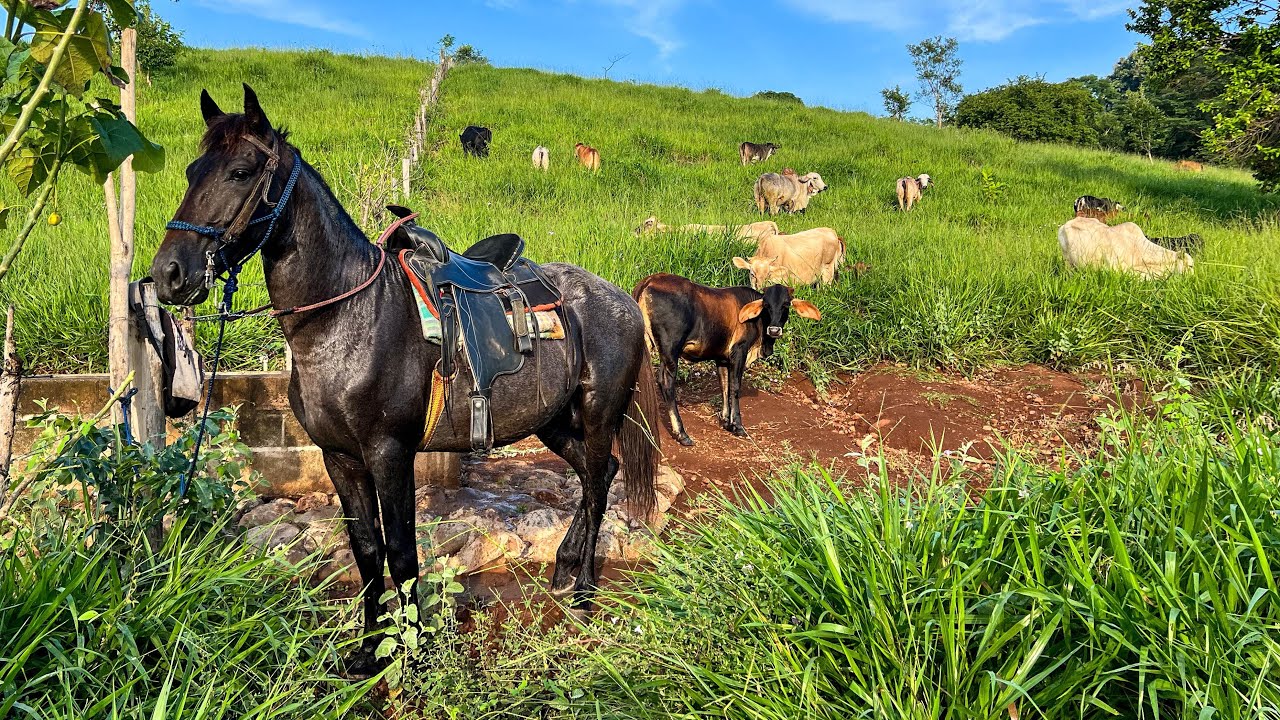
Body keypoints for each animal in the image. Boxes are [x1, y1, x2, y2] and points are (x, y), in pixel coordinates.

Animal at [633, 274, 821, 445]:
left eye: (786, 304)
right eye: (766, 305)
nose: (774, 330)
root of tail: (649, 281)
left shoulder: (722, 359)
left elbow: (724, 386)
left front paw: (726, 421)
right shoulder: (739, 352)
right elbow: (735, 387)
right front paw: (737, 425)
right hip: (670, 350)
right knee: (666, 383)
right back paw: (681, 433)